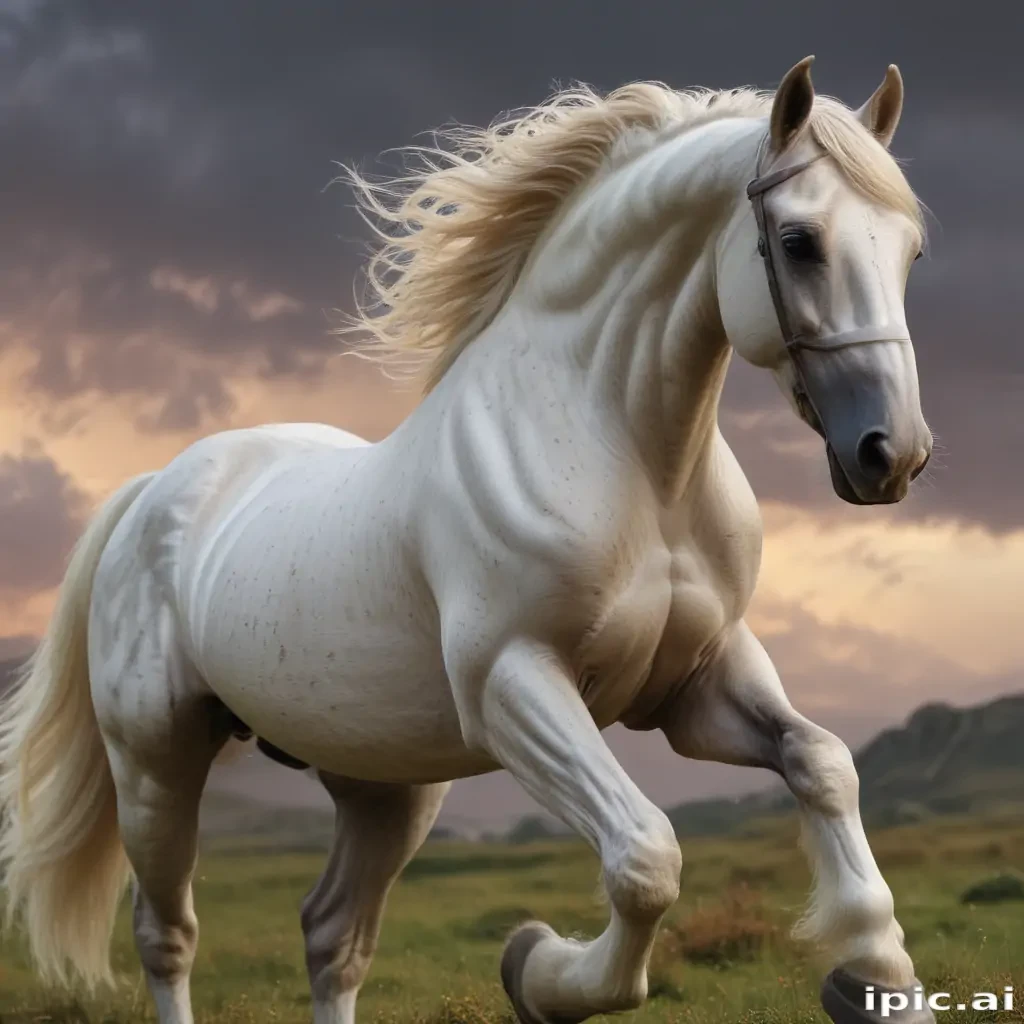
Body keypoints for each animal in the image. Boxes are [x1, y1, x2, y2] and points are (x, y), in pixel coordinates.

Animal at [0, 56, 936, 1024]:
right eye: (798, 240)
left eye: (910, 250)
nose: (892, 455)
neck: (634, 465)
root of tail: (153, 491)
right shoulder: (515, 687)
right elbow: (646, 858)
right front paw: (538, 970)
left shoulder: (699, 684)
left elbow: (823, 764)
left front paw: (876, 975)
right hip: (155, 760)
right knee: (167, 932)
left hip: (384, 785)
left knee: (332, 935)